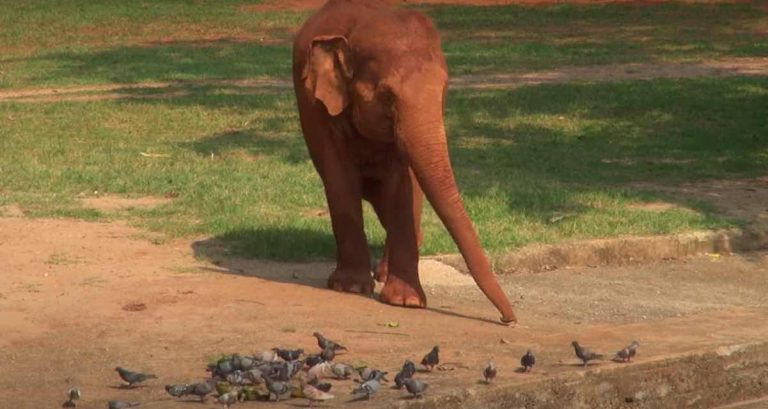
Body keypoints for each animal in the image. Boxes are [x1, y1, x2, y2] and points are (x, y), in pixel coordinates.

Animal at [292, 0, 516, 324]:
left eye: (444, 91)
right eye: (387, 96)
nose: (508, 319)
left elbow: (405, 186)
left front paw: (406, 301)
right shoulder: (319, 109)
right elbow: (340, 179)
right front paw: (350, 287)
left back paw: (385, 273)